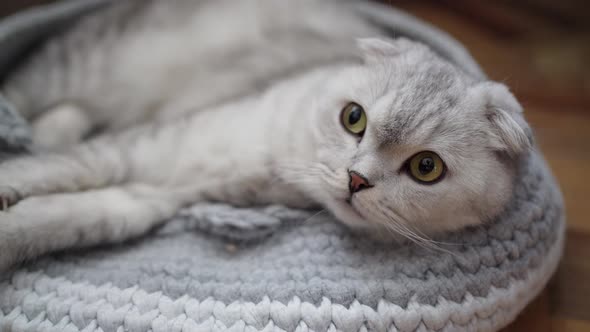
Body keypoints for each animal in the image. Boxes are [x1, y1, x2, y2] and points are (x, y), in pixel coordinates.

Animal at [0, 0, 532, 272]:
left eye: (426, 167)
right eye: (353, 119)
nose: (356, 180)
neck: (269, 168)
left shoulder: (146, 197)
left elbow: (49, 219)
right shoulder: (134, 150)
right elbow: (50, 168)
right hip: (69, 70)